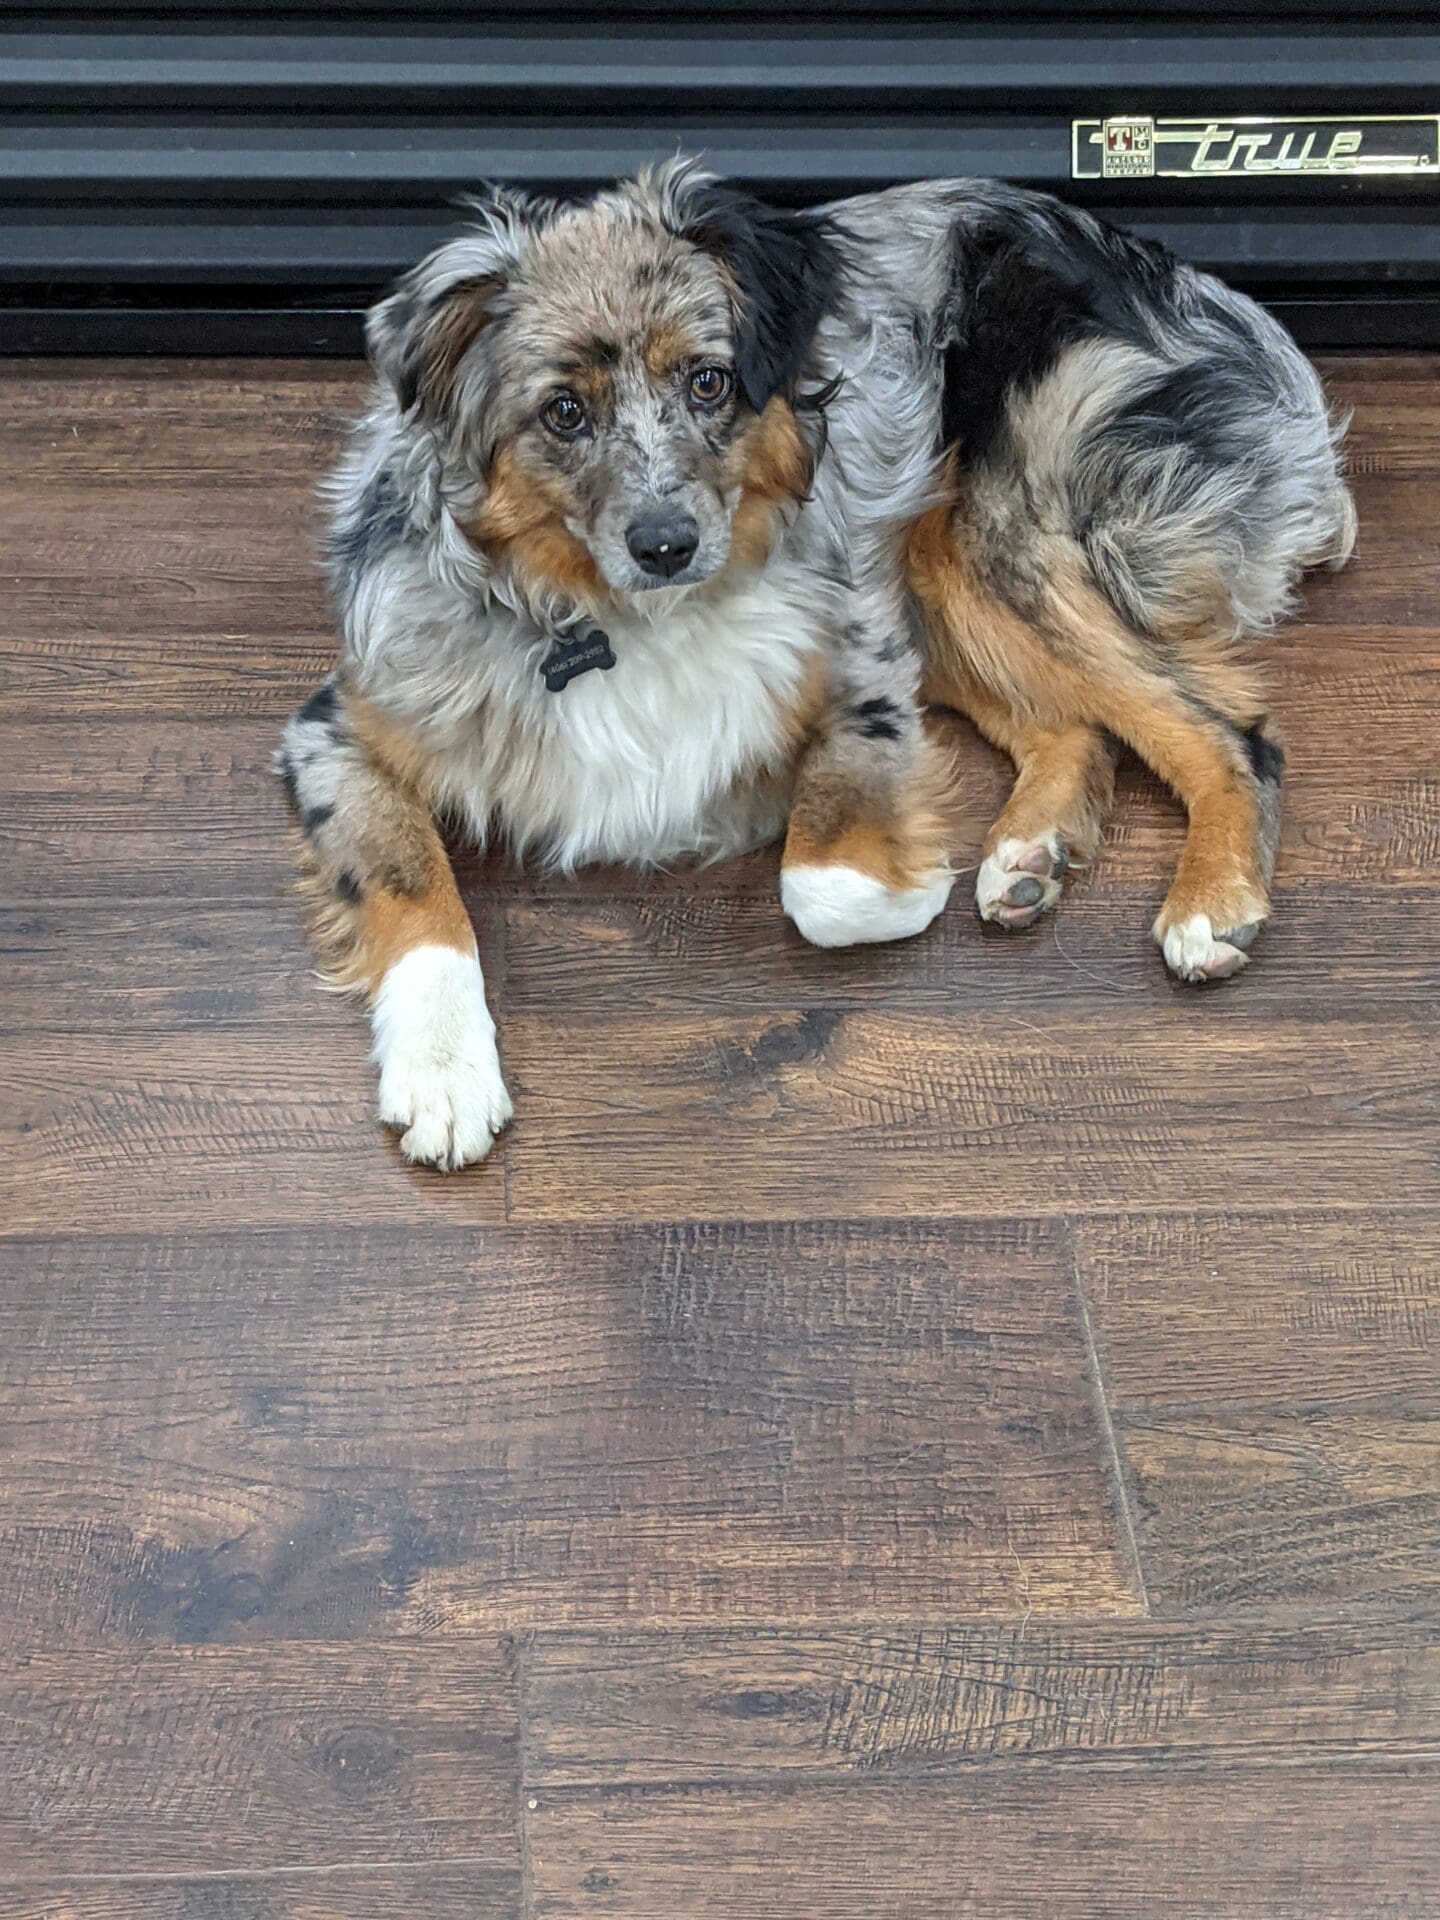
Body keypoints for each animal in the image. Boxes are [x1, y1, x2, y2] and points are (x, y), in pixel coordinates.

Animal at [278, 157, 1351, 1167]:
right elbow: (412, 889)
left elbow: (822, 887)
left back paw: (1210, 901)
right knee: (1075, 724)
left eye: (709, 381)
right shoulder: (337, 730)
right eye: (564, 413)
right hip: (938, 562)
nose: (665, 543)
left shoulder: (861, 663)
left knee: (1229, 730)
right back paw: (1029, 852)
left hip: (981, 528)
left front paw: (909, 881)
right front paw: (443, 1071)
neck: (619, 615)